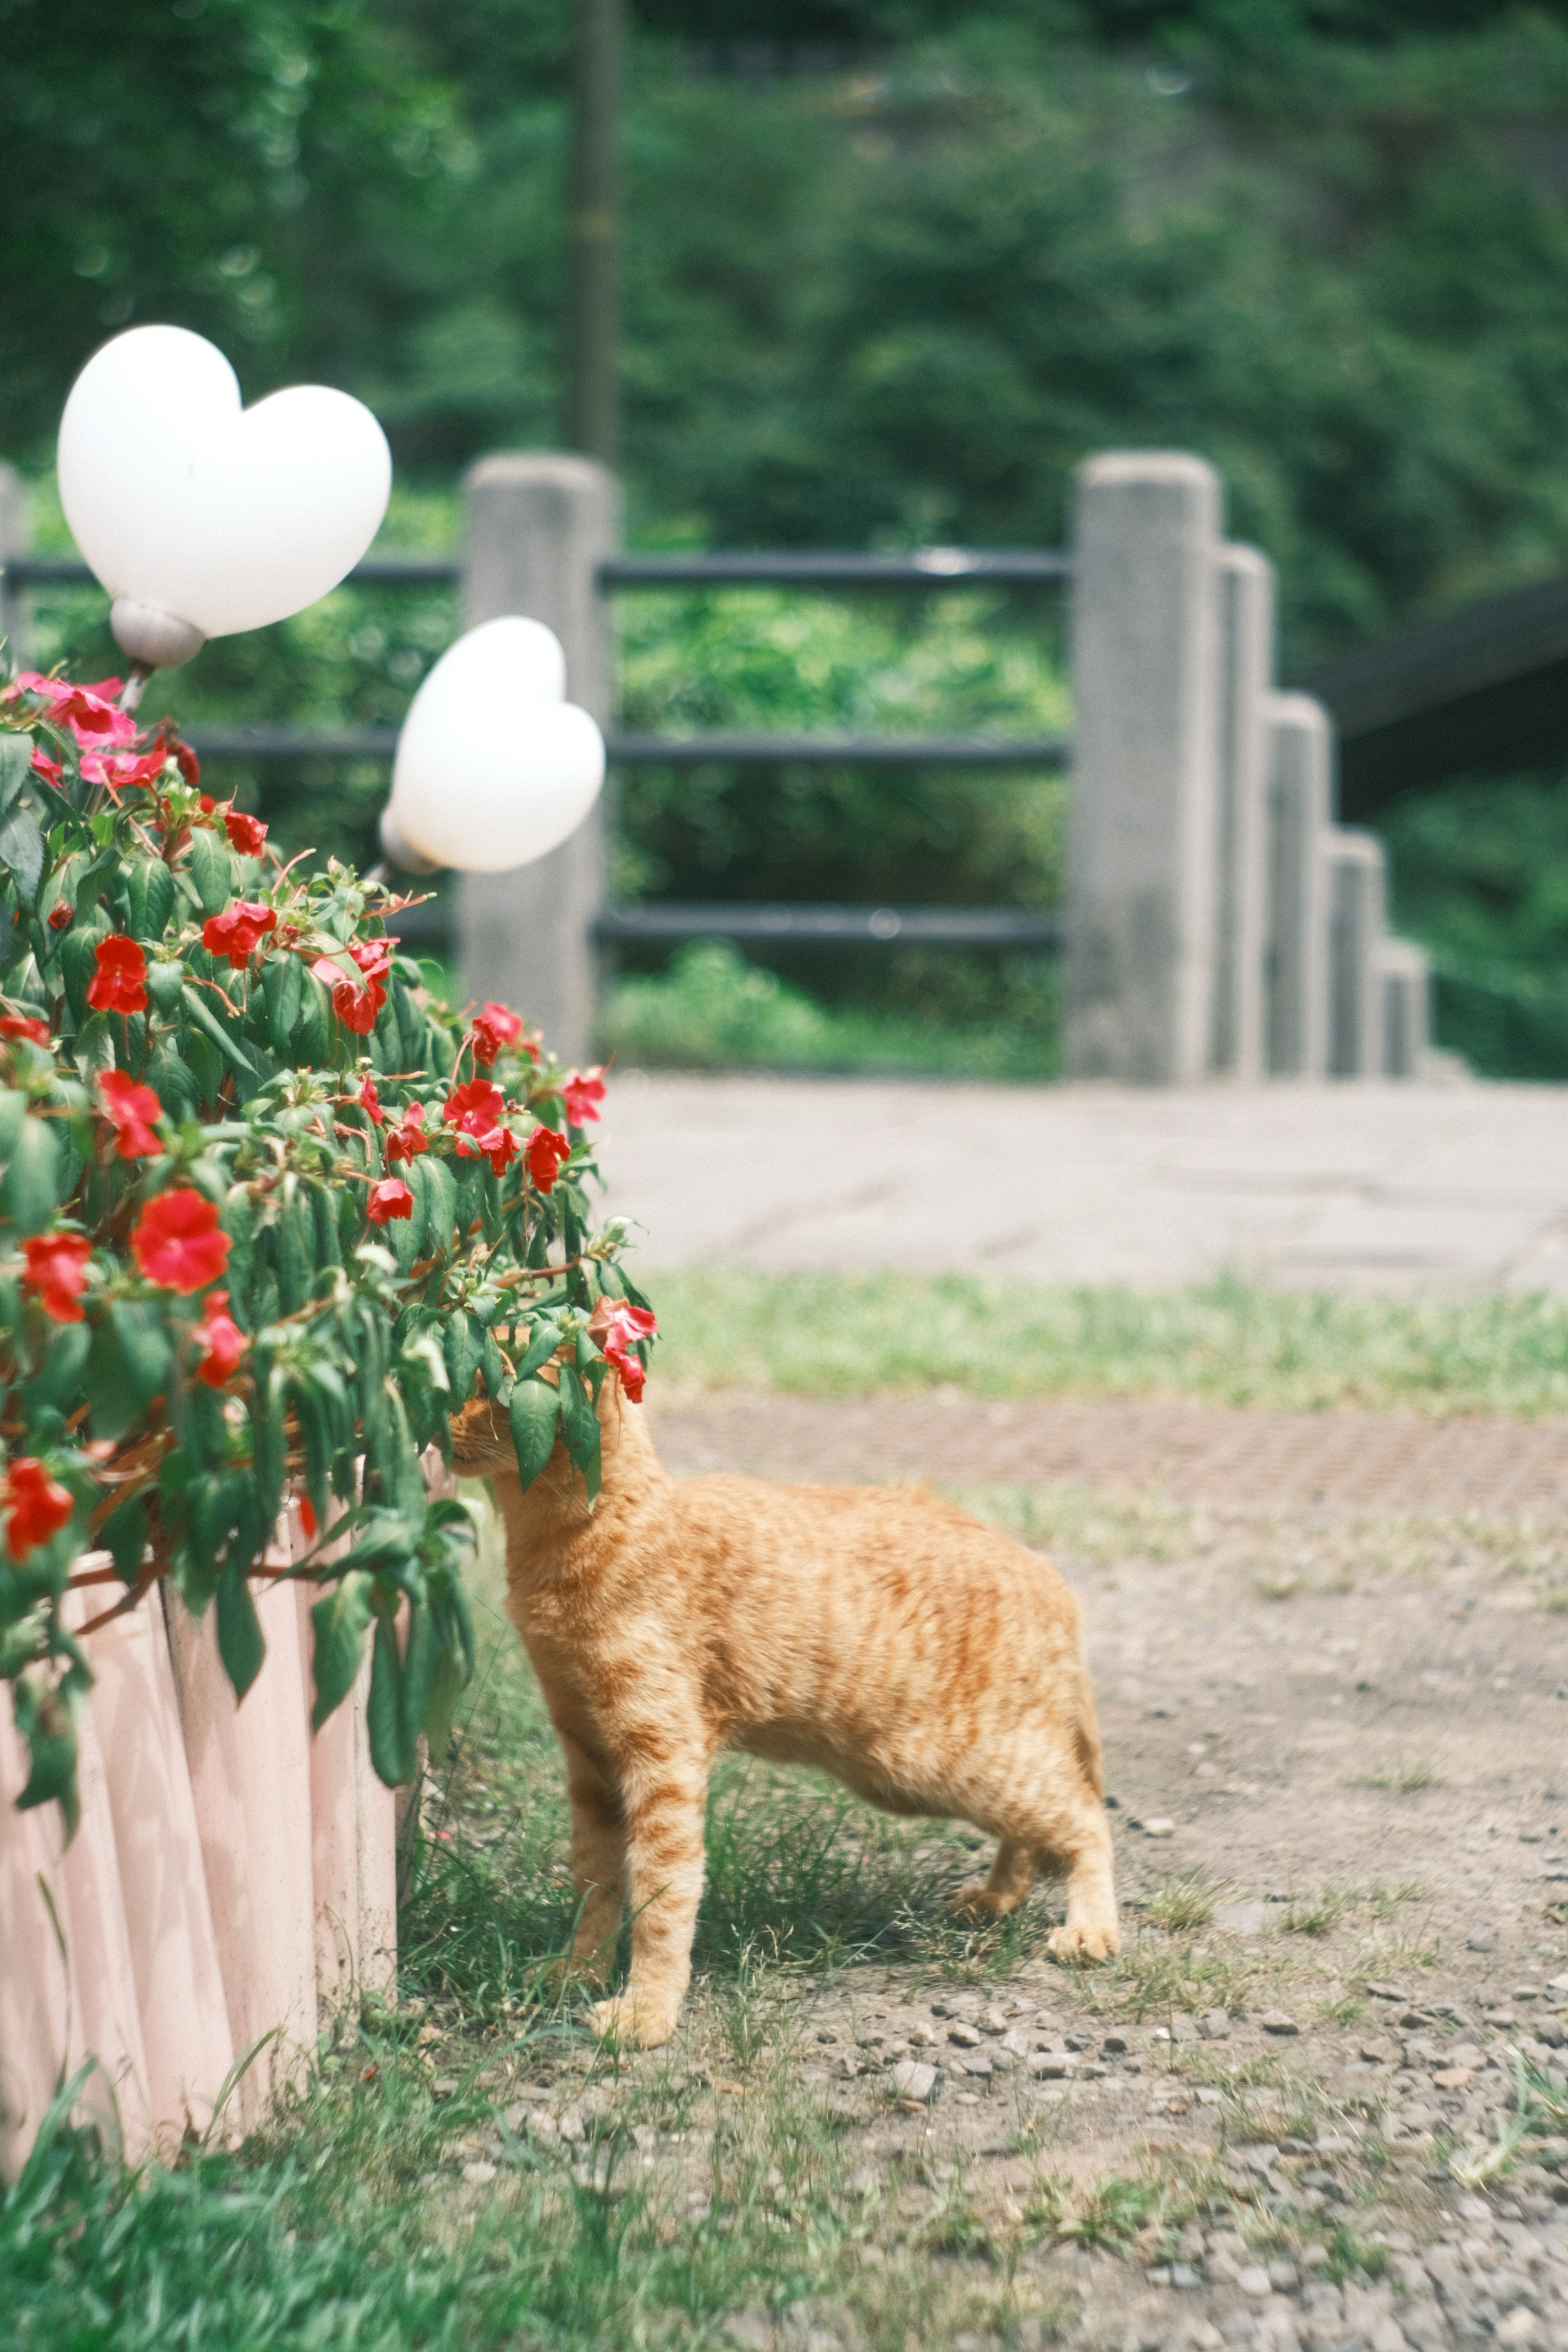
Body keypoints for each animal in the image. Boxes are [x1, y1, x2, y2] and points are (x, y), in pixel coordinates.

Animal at [451, 1383, 1114, 2051]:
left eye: (487, 1387)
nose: (439, 1421)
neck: (562, 1541)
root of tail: (1044, 1571)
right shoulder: (590, 1756)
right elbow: (596, 1882)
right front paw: (580, 1969)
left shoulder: (662, 1760)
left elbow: (663, 1896)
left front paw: (647, 2012)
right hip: (923, 1773)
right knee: (1033, 1830)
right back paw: (999, 1896)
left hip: (945, 1764)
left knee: (1085, 1815)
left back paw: (1091, 1930)